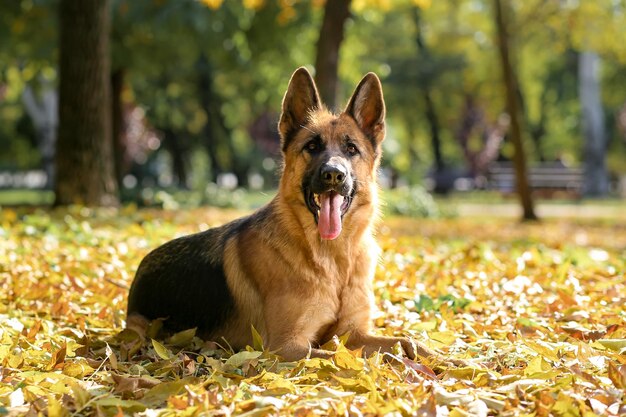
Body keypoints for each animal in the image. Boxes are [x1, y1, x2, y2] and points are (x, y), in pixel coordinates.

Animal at [127, 66, 446, 362]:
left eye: (351, 148)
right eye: (312, 146)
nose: (333, 174)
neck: (332, 261)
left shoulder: (353, 333)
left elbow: (407, 341)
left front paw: (444, 358)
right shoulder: (287, 347)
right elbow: (350, 358)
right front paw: (396, 363)